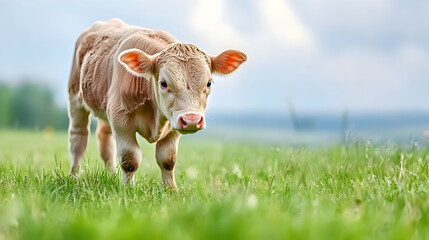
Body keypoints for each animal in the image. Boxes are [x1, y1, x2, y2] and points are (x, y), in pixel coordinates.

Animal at [68, 18, 246, 188]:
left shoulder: (173, 124)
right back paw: (74, 177)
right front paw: (128, 189)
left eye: (209, 83)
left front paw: (171, 190)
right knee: (78, 139)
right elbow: (130, 159)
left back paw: (111, 176)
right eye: (163, 83)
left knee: (105, 140)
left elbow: (167, 160)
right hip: (75, 98)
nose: (191, 120)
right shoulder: (120, 118)